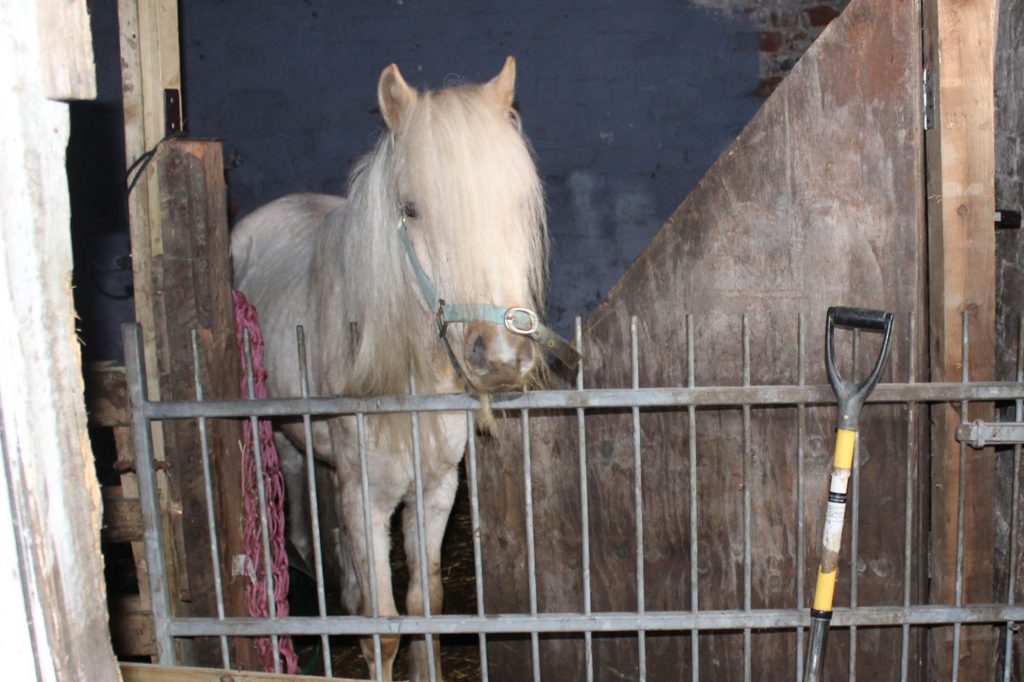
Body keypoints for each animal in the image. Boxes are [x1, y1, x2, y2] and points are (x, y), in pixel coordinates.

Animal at [230, 59, 577, 679]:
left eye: (518, 204)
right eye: (411, 210)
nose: (501, 358)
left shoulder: (436, 490)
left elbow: (425, 605)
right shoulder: (366, 498)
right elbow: (384, 629)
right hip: (286, 446)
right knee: (302, 534)